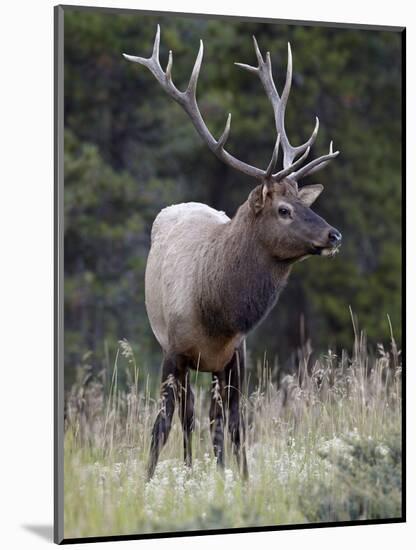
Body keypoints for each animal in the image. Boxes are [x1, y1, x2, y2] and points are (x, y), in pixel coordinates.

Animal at [122, 27, 342, 484]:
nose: (334, 234)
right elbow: (161, 424)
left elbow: (234, 425)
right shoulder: (173, 351)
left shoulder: (236, 356)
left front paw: (238, 480)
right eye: (284, 209)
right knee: (187, 417)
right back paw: (188, 469)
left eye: (304, 201)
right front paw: (147, 480)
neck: (217, 314)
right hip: (180, 355)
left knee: (213, 418)